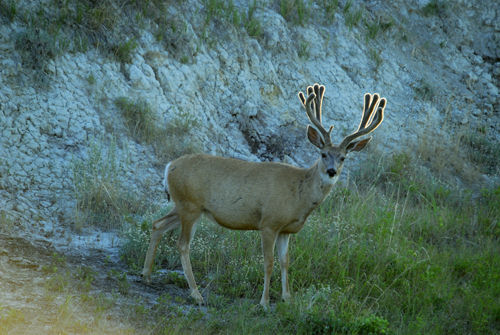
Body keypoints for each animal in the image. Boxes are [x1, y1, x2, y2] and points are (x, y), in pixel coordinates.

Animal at [142, 84, 386, 310]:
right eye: (323, 154)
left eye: (343, 157)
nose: (332, 171)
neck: (299, 195)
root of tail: (169, 166)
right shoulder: (269, 222)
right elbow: (268, 262)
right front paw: (265, 302)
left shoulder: (286, 230)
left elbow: (285, 261)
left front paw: (288, 298)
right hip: (190, 205)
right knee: (183, 244)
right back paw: (196, 294)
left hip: (185, 205)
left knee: (157, 224)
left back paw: (147, 275)